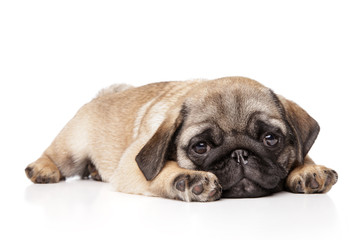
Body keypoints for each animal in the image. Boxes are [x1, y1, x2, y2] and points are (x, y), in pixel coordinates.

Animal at [24, 76, 338, 201]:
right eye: (201, 146)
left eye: (271, 139)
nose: (239, 154)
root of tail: (101, 97)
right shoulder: (132, 164)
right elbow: (162, 170)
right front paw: (186, 179)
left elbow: (303, 153)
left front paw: (308, 169)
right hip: (72, 149)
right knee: (56, 156)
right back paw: (43, 169)